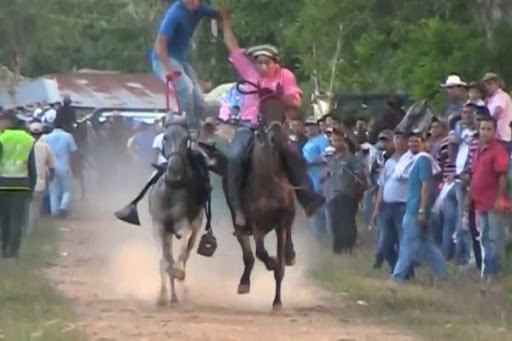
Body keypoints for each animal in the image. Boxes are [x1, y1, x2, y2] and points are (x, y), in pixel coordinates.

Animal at [147, 113, 203, 304]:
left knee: (187, 253)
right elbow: (163, 260)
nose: (174, 170)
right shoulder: (159, 225)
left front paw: (178, 273)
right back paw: (172, 296)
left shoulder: (185, 223)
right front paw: (162, 296)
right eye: (165, 137)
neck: (172, 190)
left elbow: (182, 248)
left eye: (187, 139)